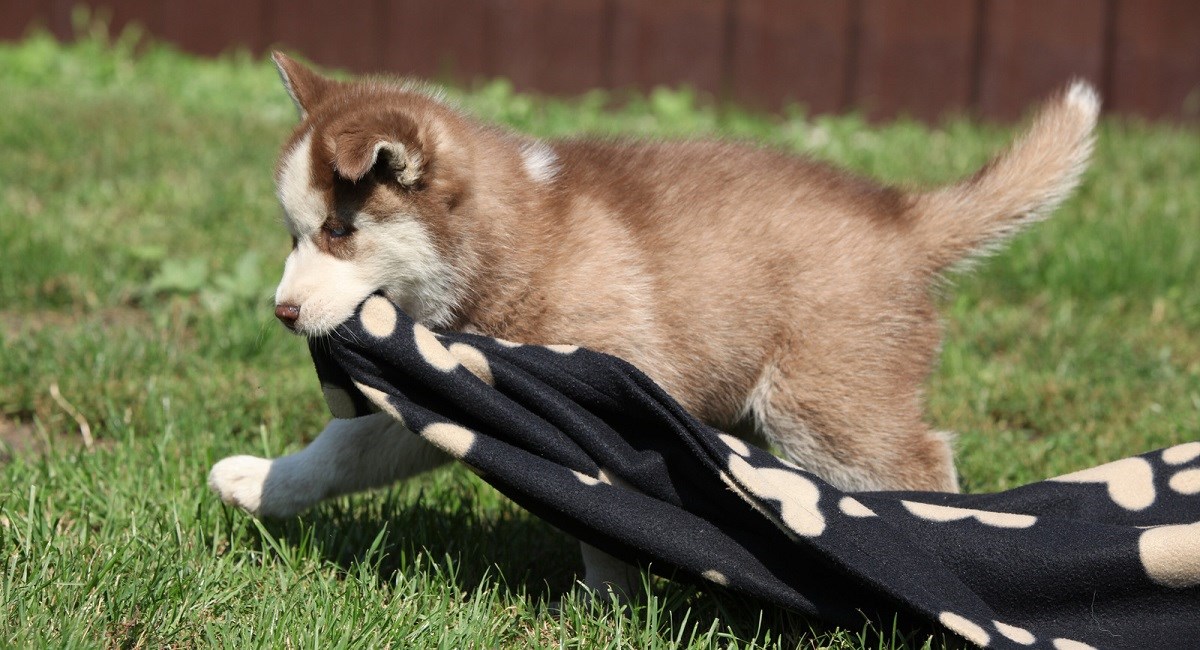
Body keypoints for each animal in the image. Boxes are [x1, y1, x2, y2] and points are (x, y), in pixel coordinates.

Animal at [208, 56, 1099, 602]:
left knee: (916, 463)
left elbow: (604, 513)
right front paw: (264, 481)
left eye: (341, 232)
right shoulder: (453, 395)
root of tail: (903, 216)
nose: (281, 311)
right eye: (296, 234)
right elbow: (346, 451)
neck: (513, 248)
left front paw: (608, 603)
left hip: (825, 406)